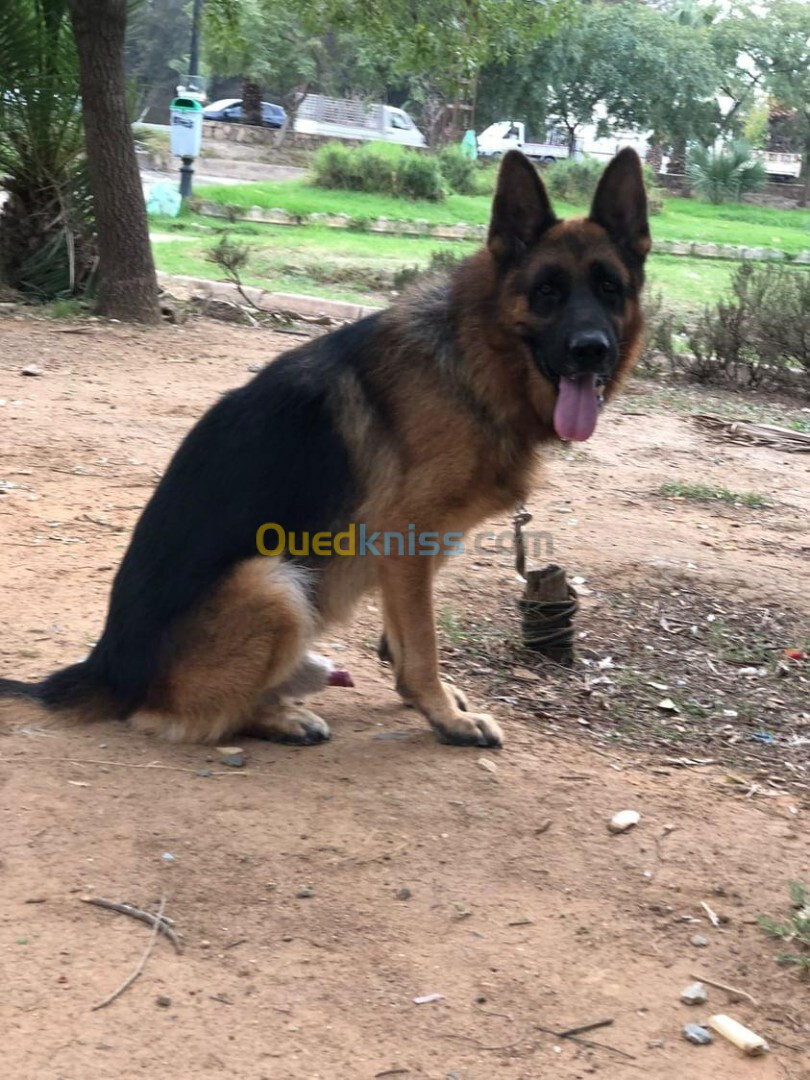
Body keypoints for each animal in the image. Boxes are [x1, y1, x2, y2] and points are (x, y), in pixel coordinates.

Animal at [0, 147, 652, 747]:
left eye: (608, 287)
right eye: (547, 291)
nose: (590, 350)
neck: (470, 360)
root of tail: (107, 670)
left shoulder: (414, 547)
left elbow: (403, 637)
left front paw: (424, 699)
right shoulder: (406, 535)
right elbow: (424, 645)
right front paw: (445, 716)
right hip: (273, 583)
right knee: (186, 717)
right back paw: (280, 717)